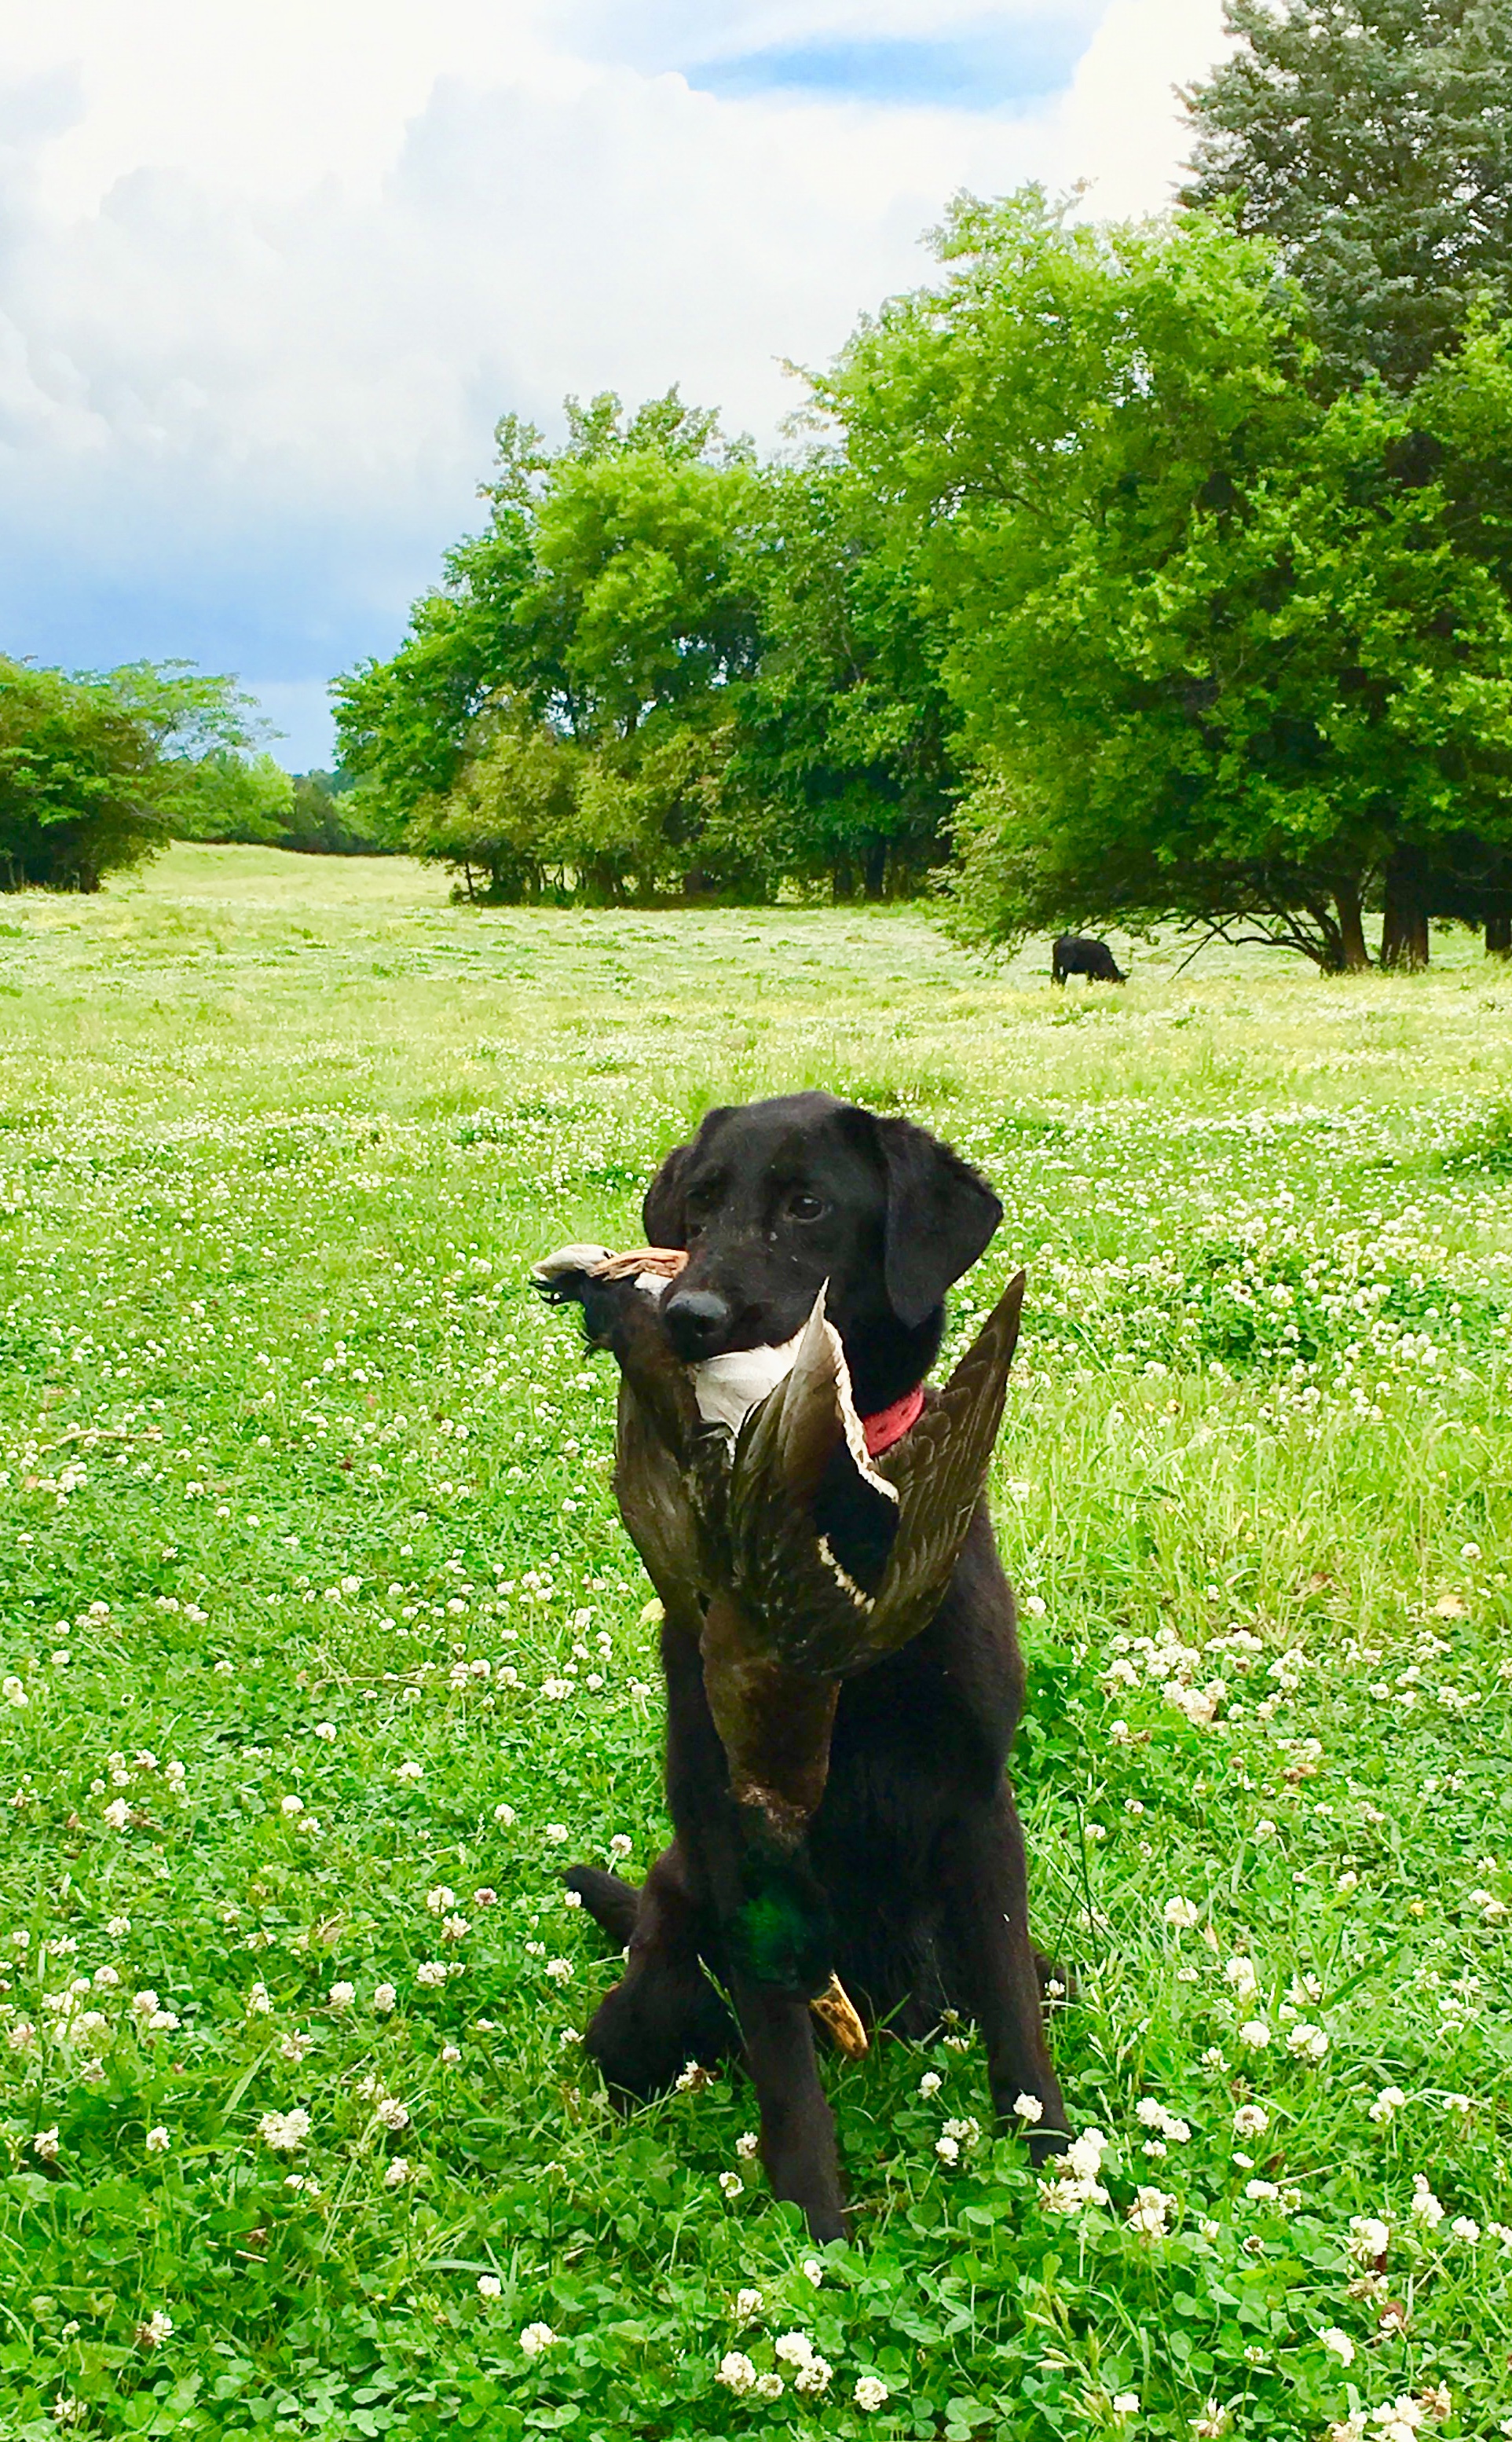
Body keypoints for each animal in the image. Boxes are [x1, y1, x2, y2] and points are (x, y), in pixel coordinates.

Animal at [562, 1098, 1070, 2236]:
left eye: (807, 1205)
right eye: (701, 1200)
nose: (688, 1313)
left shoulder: (980, 1803)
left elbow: (1013, 2011)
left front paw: (1055, 2153)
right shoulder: (736, 1838)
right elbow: (786, 2072)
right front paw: (816, 2231)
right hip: (665, 1963)